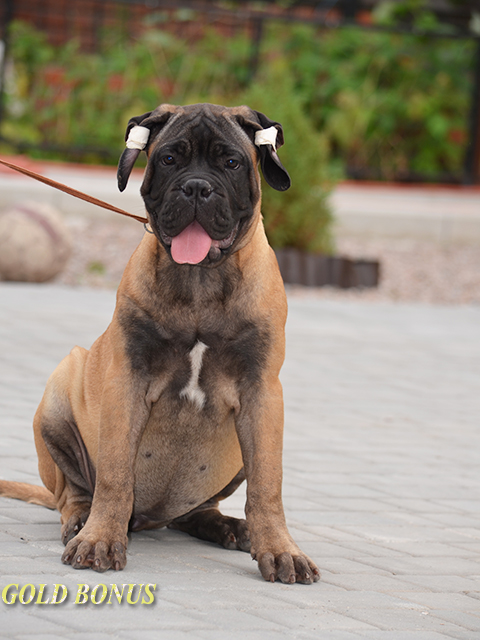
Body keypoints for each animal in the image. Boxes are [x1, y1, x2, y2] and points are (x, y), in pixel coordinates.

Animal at [0, 104, 318, 584]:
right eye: (169, 159)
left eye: (231, 162)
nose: (196, 187)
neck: (200, 280)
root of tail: (152, 519)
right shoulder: (127, 381)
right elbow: (115, 473)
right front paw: (99, 539)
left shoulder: (262, 394)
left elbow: (268, 483)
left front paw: (281, 550)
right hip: (61, 387)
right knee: (72, 492)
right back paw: (82, 520)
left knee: (197, 510)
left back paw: (227, 526)